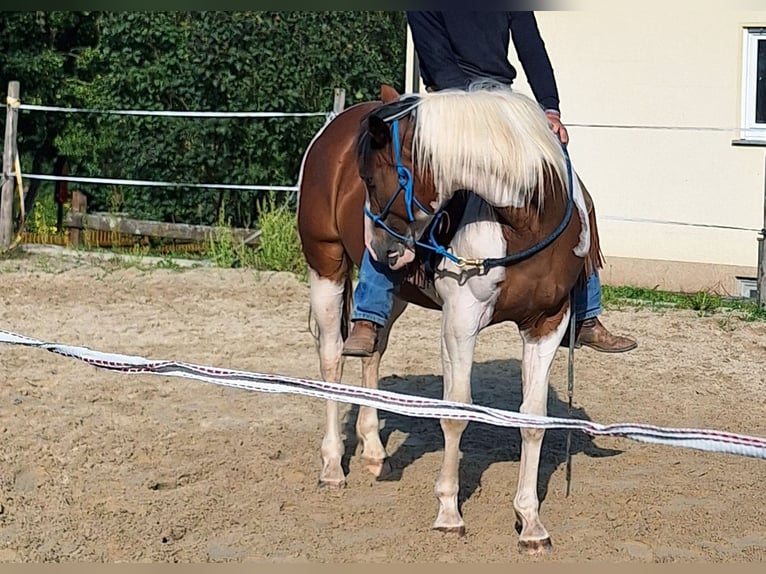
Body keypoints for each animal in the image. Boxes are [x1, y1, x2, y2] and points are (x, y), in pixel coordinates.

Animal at [296, 83, 604, 556]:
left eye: (373, 178)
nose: (380, 249)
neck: (522, 223)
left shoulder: (547, 323)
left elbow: (533, 419)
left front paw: (531, 523)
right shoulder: (461, 320)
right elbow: (456, 411)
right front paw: (448, 513)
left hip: (396, 292)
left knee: (372, 349)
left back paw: (374, 452)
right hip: (325, 265)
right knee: (332, 359)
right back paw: (332, 467)